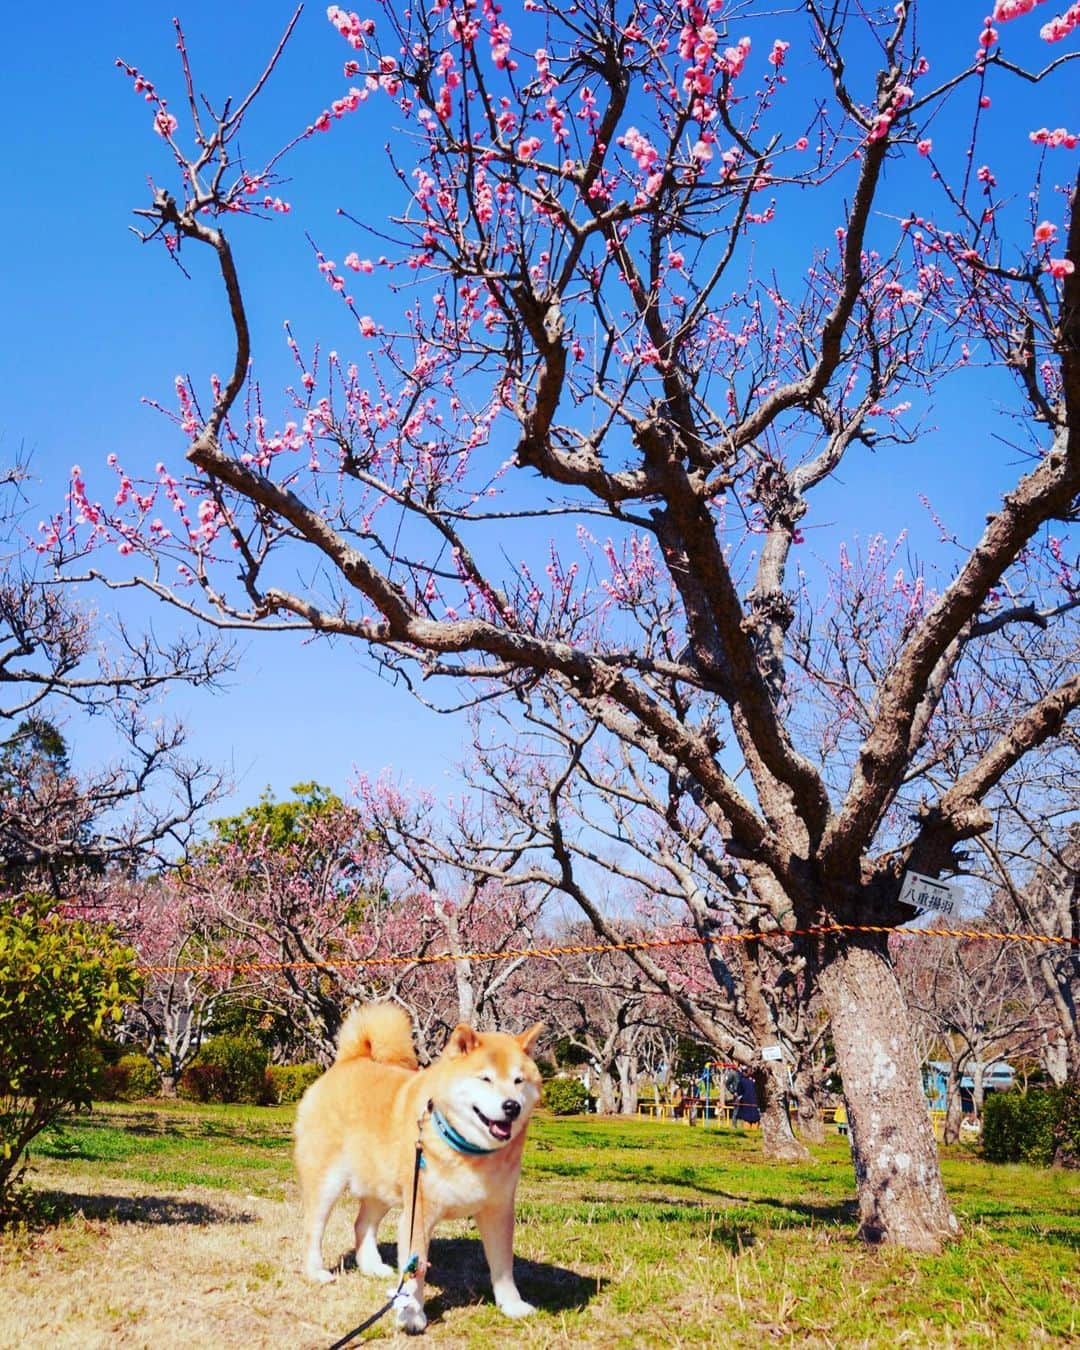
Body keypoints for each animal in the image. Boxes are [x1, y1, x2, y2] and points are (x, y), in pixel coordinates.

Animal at [292, 999, 540, 1333]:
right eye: (485, 1079)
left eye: (518, 1081)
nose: (511, 1106)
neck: (466, 1148)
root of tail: (348, 1060)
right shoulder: (419, 1215)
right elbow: (415, 1268)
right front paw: (412, 1314)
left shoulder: (498, 1211)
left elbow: (503, 1266)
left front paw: (512, 1305)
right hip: (328, 1183)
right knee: (313, 1228)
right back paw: (316, 1272)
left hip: (384, 1185)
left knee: (362, 1224)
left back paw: (372, 1267)